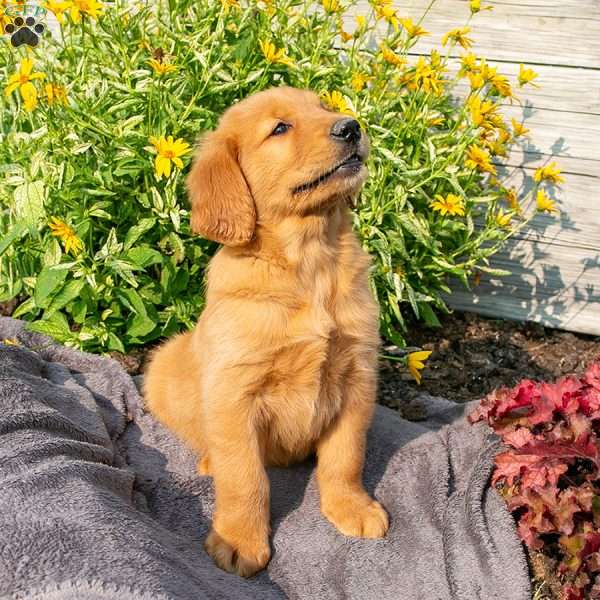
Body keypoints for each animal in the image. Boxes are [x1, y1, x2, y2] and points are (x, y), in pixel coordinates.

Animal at [145, 84, 390, 576]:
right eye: (280, 128)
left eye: (323, 107)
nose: (351, 126)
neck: (311, 263)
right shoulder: (235, 394)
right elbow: (245, 477)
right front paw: (240, 539)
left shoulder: (357, 376)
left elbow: (346, 455)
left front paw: (350, 507)